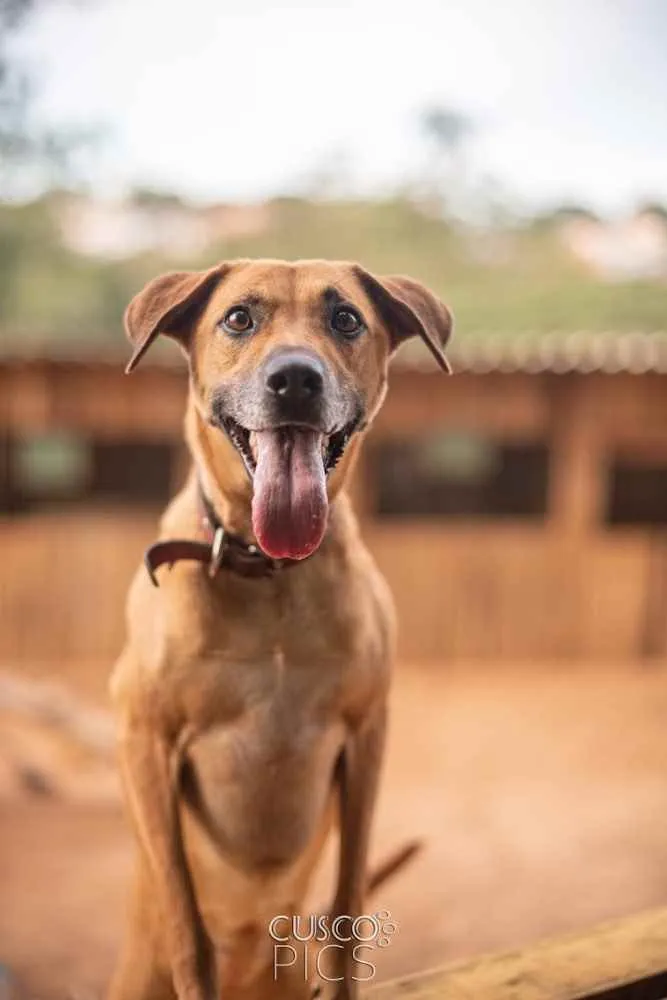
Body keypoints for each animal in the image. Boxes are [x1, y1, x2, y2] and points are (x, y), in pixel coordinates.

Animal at [109, 260, 452, 1000]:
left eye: (346, 318)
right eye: (239, 317)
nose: (295, 378)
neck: (269, 573)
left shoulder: (366, 736)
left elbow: (348, 906)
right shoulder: (145, 742)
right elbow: (185, 919)